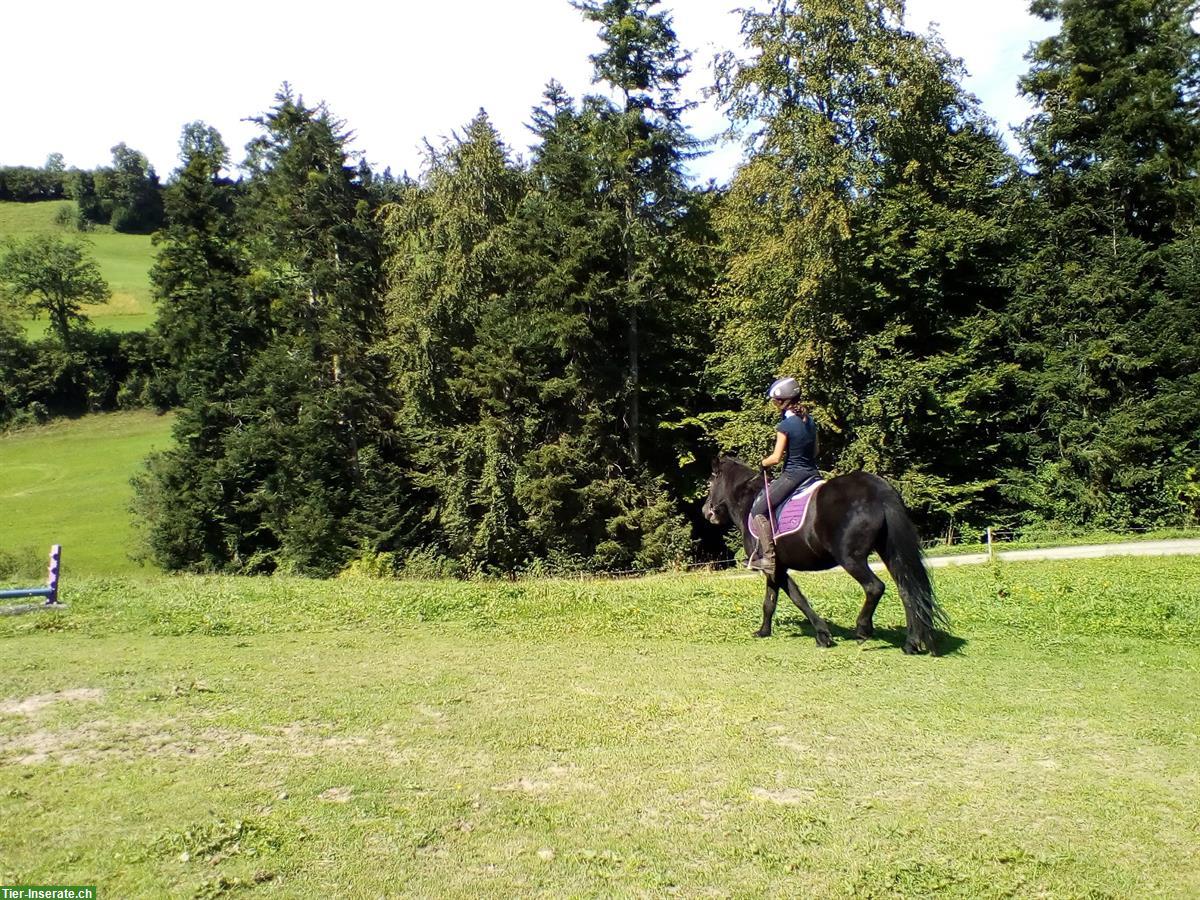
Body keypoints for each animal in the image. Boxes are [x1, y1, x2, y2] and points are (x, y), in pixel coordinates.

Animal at [700, 458, 945, 657]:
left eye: (710, 483)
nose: (706, 511)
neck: (750, 502)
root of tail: (879, 490)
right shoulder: (774, 568)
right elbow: (770, 602)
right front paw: (763, 632)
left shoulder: (776, 568)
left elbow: (797, 598)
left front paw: (823, 635)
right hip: (889, 552)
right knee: (907, 591)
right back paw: (911, 644)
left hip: (851, 558)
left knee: (875, 587)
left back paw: (863, 630)